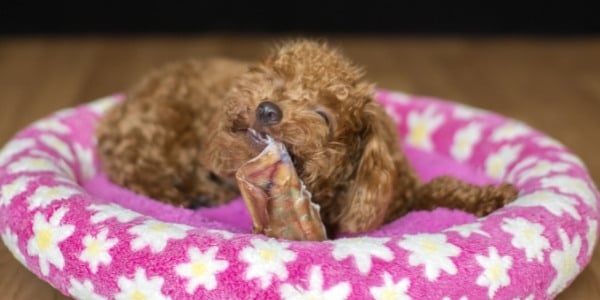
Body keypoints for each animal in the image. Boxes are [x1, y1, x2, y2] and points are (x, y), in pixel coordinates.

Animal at [96, 40, 516, 237]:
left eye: (323, 114)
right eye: (276, 80)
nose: (267, 109)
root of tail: (124, 103)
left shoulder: (400, 191)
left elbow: (442, 186)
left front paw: (494, 196)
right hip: (162, 129)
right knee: (136, 171)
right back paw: (185, 194)